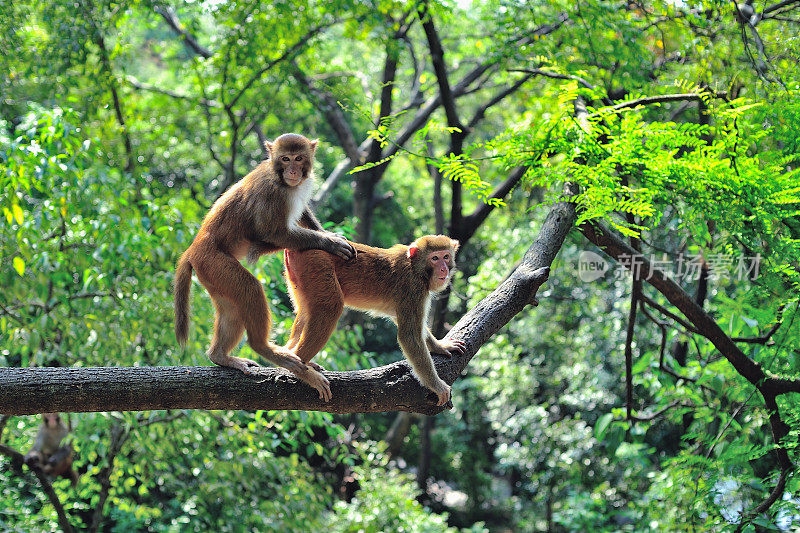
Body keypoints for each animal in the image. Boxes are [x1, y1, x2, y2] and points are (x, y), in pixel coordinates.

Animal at [175, 132, 354, 400]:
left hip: (210, 272)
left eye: (299, 158)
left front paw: (325, 232)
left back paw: (220, 356)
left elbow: (302, 214)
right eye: (285, 158)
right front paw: (329, 242)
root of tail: (193, 247)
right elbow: (273, 232)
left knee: (231, 308)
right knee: (249, 288)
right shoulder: (273, 194)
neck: (282, 180)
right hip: (212, 260)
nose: (292, 171)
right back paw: (270, 351)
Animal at [282, 233, 466, 404]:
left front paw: (440, 346)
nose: (443, 269)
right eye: (435, 258)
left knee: (306, 311)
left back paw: (292, 354)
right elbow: (409, 336)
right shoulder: (412, 288)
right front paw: (436, 386)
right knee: (330, 308)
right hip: (317, 264)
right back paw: (301, 368)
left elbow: (407, 325)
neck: (415, 267)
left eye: (446, 256)